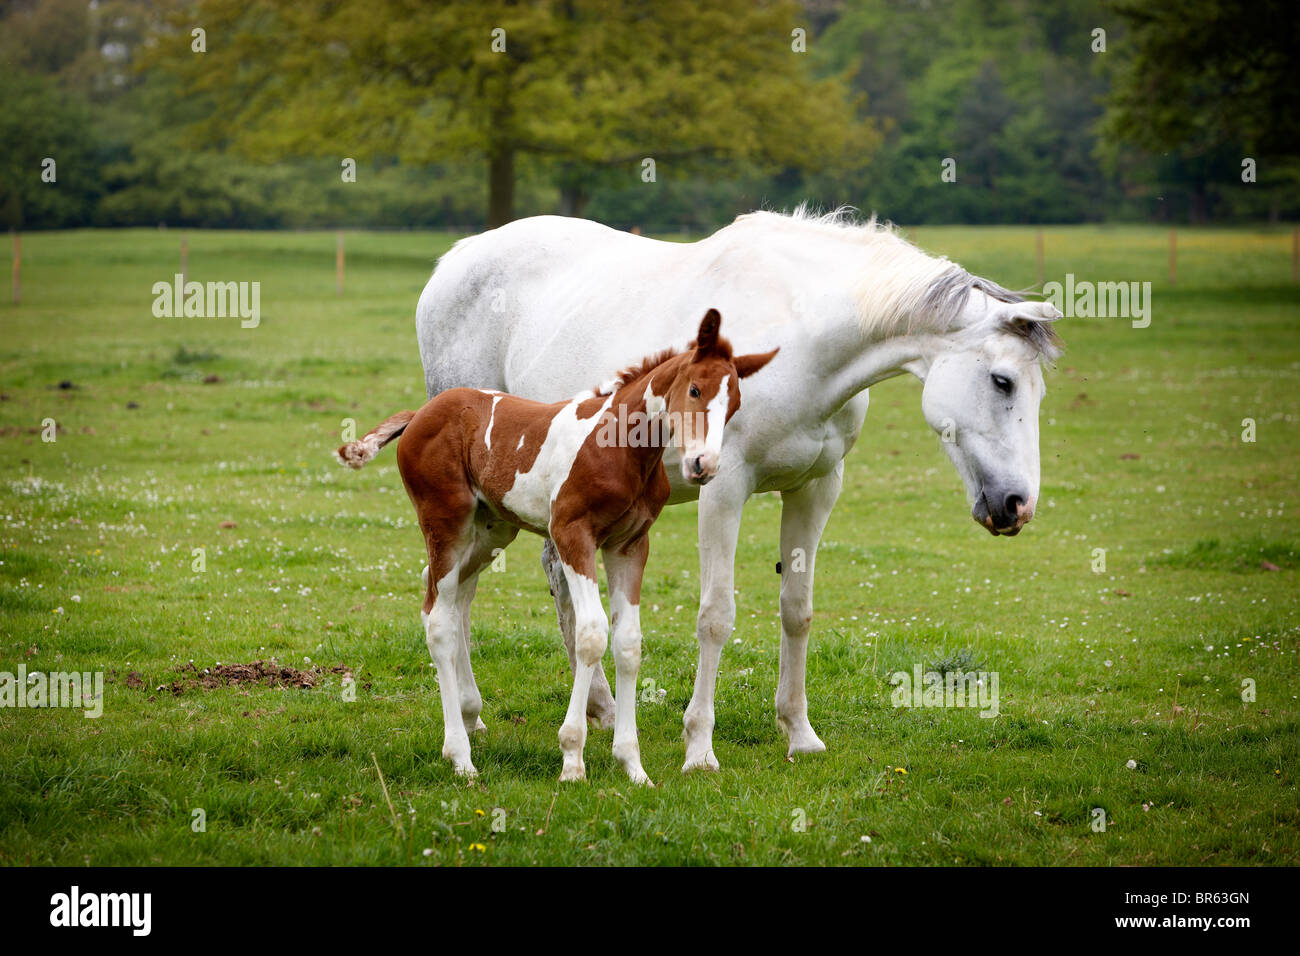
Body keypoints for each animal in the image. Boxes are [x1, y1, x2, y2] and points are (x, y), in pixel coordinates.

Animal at [340, 312, 774, 785]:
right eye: (694, 390)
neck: (620, 446)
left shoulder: (629, 544)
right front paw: (572, 759)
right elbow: (590, 634)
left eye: (734, 407)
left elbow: (628, 642)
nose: (703, 465)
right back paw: (460, 756)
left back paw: (470, 718)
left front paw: (632, 765)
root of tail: (420, 413)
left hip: (492, 530)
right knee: (437, 618)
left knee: (448, 595)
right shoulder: (571, 534)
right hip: (445, 520)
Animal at [416, 208, 1066, 770]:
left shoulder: (816, 488)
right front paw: (699, 747)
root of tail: (458, 258)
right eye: (1002, 381)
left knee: (523, 580)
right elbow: (716, 616)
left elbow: (797, 610)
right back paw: (477, 717)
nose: (1018, 505)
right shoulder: (723, 487)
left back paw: (582, 708)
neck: (803, 336)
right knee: (460, 590)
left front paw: (799, 733)